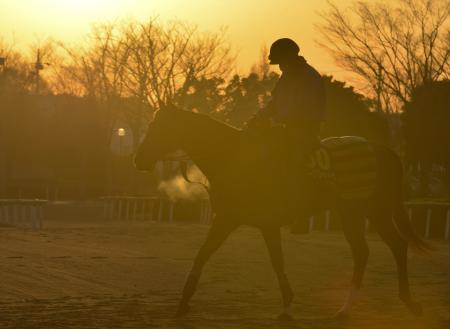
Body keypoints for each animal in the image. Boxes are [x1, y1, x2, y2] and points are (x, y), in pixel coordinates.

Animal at [134, 104, 428, 318]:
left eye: (158, 127)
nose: (138, 159)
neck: (234, 157)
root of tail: (383, 150)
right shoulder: (238, 220)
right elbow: (208, 254)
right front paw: (183, 301)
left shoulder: (249, 221)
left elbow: (267, 260)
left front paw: (286, 304)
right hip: (352, 213)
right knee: (368, 251)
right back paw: (349, 308)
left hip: (374, 210)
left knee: (395, 246)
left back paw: (405, 301)